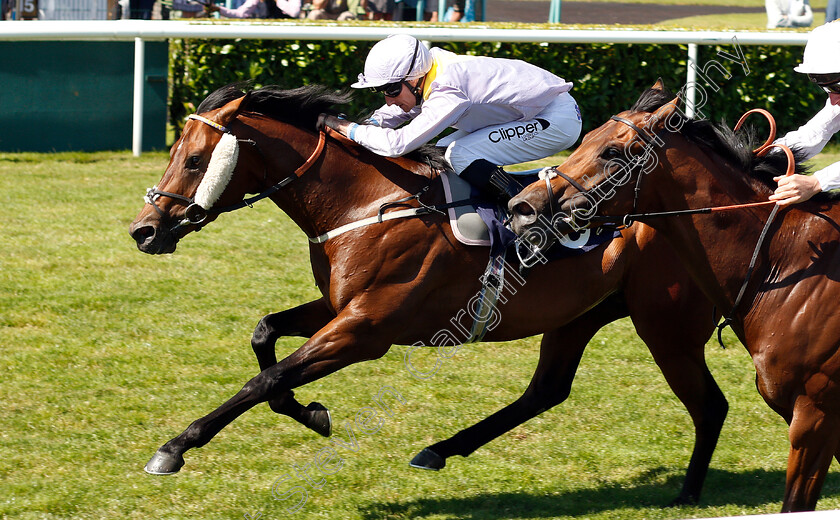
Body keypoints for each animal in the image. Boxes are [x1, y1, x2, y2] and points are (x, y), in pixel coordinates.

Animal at [128, 83, 724, 506]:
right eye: (176, 153)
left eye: (195, 161)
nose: (144, 231)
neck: (368, 203)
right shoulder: (338, 308)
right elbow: (265, 335)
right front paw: (310, 412)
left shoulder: (366, 330)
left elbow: (267, 376)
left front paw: (175, 447)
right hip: (582, 314)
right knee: (547, 391)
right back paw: (439, 450)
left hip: (665, 325)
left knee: (710, 405)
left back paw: (690, 493)